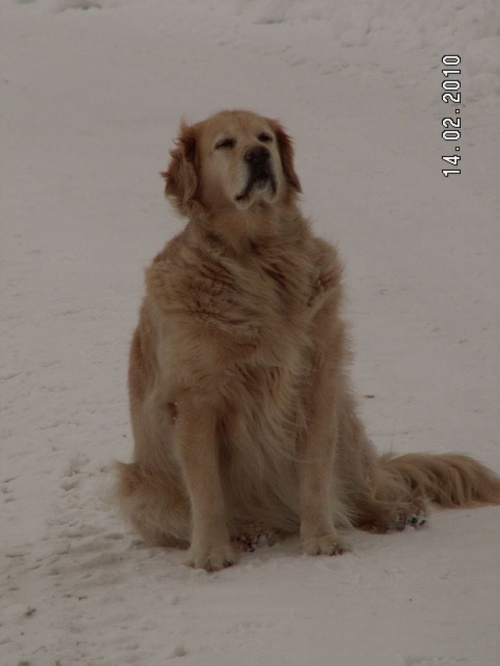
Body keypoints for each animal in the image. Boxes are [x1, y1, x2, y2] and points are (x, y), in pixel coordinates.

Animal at [116, 110, 500, 572]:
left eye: (264, 137)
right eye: (224, 144)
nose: (258, 155)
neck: (257, 258)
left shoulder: (317, 384)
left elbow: (316, 476)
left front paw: (321, 538)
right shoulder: (194, 402)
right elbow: (206, 489)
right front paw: (209, 552)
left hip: (347, 426)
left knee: (364, 490)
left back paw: (395, 512)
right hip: (140, 487)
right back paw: (248, 533)